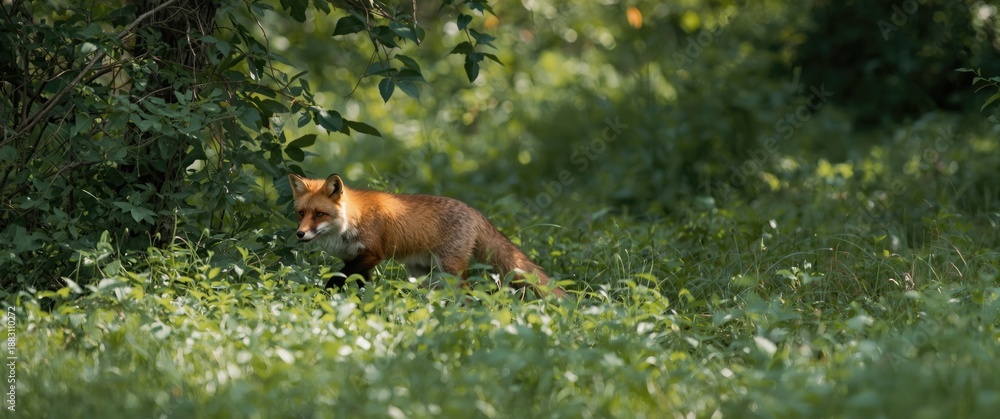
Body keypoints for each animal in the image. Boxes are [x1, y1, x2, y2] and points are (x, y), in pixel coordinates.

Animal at [288, 173, 568, 298]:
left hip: (450, 270)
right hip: (423, 274)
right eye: (301, 213)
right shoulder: (358, 260)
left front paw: (321, 295)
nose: (300, 234)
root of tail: (474, 211)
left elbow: (336, 277)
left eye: (319, 214)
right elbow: (361, 286)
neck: (350, 222)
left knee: (467, 293)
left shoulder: (373, 253)